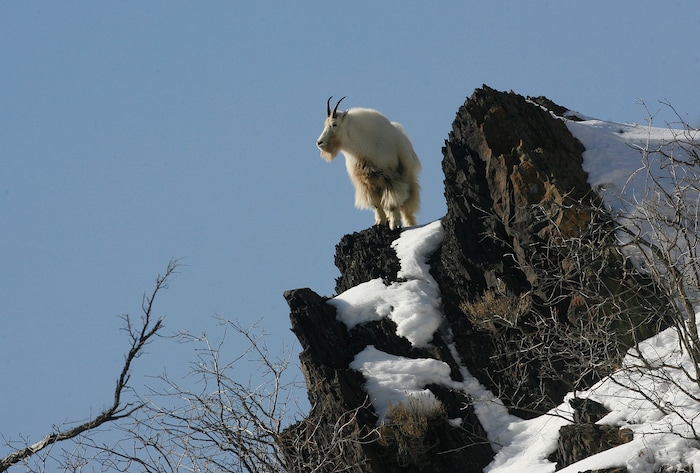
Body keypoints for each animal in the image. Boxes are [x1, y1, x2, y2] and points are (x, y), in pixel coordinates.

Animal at [316, 96, 421, 229]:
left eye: (334, 124)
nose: (319, 143)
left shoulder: (389, 178)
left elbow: (392, 203)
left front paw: (394, 224)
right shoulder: (365, 184)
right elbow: (376, 205)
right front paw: (379, 223)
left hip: (409, 179)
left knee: (407, 208)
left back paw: (410, 224)